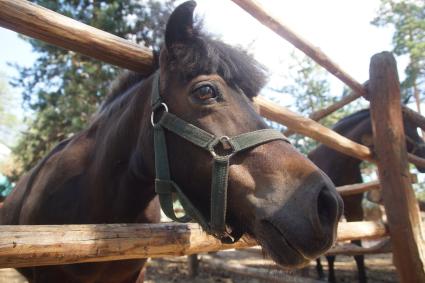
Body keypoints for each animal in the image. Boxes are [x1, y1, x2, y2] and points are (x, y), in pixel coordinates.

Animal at [308, 107, 424, 282]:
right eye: (404, 126)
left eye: (417, 127)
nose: (424, 156)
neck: (339, 162)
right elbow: (330, 254)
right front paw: (331, 278)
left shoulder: (355, 210)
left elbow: (358, 252)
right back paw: (320, 271)